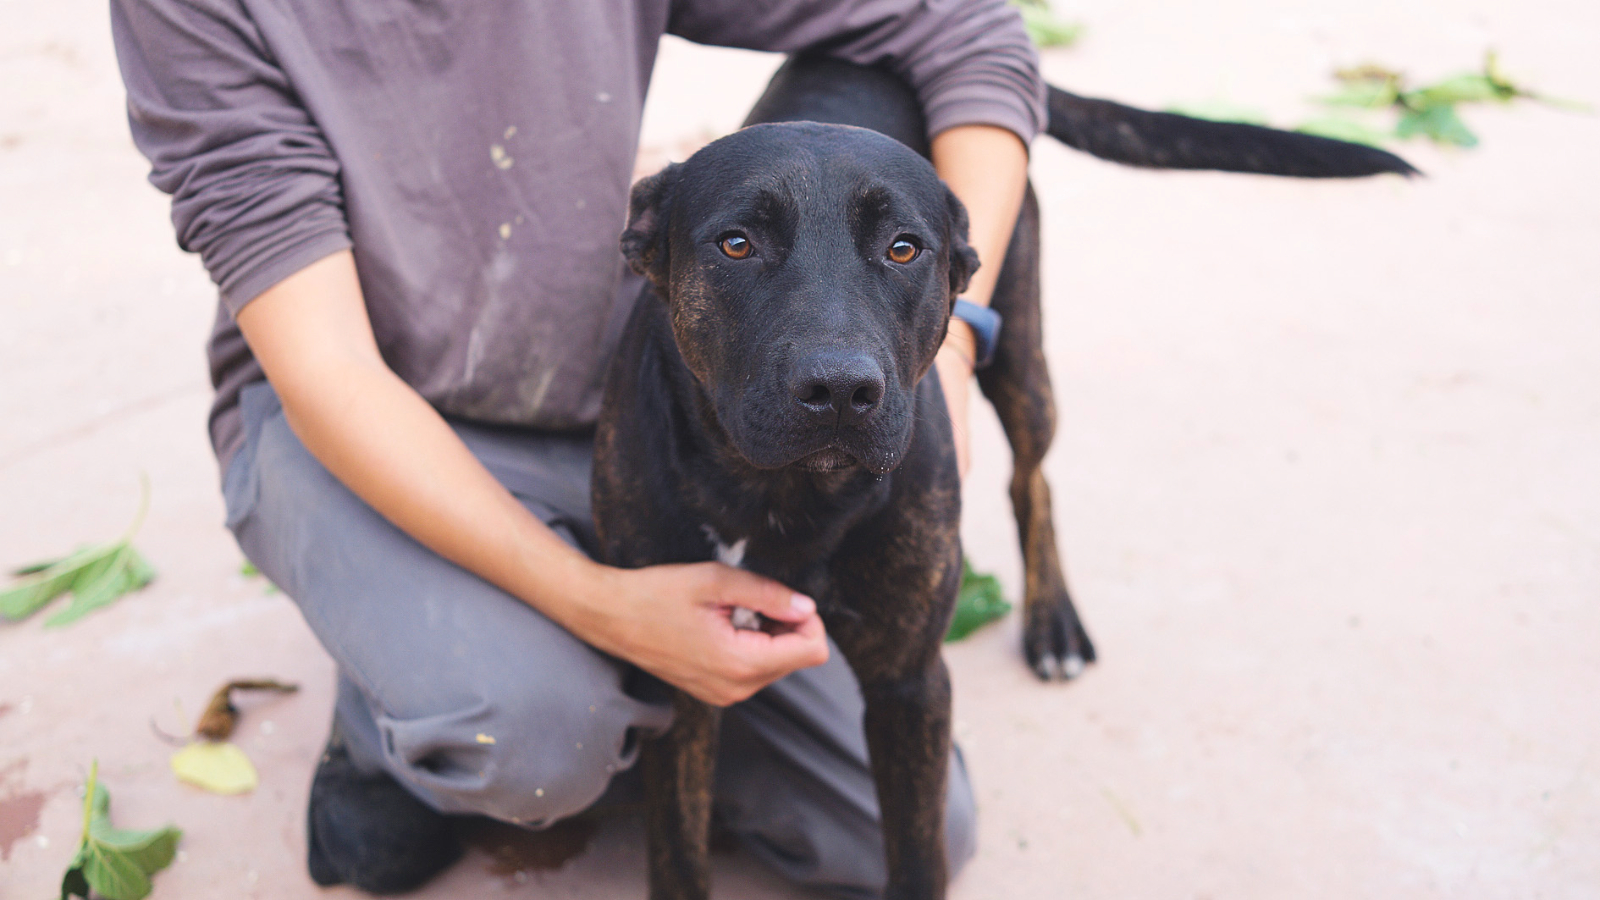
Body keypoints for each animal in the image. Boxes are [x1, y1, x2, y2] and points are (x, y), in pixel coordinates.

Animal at [593, 55, 1414, 900]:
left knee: (1032, 479)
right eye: (735, 244)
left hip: (1022, 355)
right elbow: (678, 849)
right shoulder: (680, 665)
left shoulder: (911, 685)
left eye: (903, 249)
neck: (781, 494)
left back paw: (1052, 622)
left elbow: (918, 856)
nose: (841, 391)